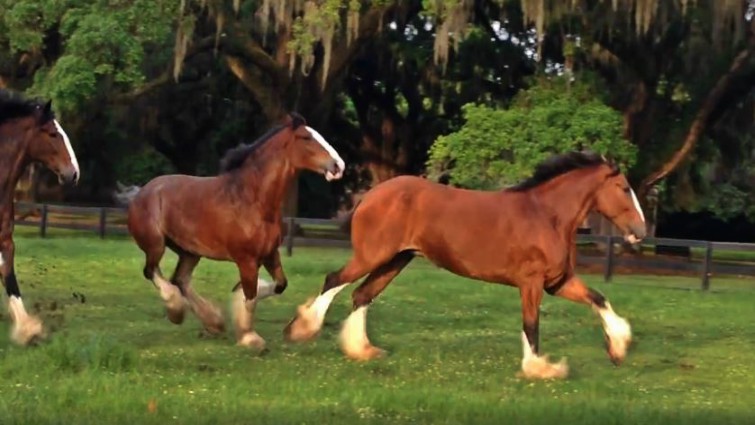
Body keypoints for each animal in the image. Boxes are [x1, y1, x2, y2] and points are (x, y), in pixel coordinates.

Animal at [127, 113, 346, 348]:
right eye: (305, 137)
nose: (338, 166)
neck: (251, 199)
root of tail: (142, 192)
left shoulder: (270, 254)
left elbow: (279, 285)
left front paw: (237, 299)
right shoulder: (246, 260)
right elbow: (250, 297)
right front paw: (250, 338)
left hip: (190, 252)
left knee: (180, 279)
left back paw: (213, 323)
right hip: (156, 245)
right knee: (152, 272)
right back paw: (176, 309)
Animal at [286, 152, 648, 378]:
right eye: (624, 188)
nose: (640, 232)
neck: (547, 215)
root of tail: (370, 195)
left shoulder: (557, 282)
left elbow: (598, 298)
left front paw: (617, 348)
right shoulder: (531, 283)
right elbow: (531, 325)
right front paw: (540, 369)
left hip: (395, 260)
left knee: (362, 295)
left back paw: (362, 350)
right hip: (372, 256)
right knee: (334, 280)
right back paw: (302, 329)